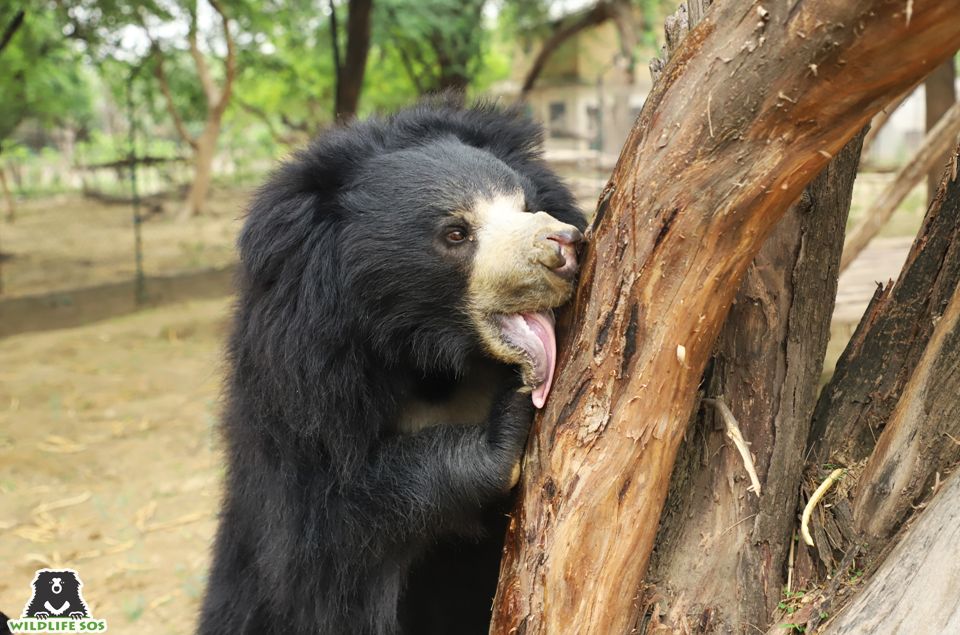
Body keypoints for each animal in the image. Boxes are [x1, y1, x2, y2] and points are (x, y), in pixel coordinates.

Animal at [201, 98, 584, 635]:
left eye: (525, 204)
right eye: (456, 232)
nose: (564, 246)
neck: (433, 360)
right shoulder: (302, 391)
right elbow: (326, 540)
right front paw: (506, 426)